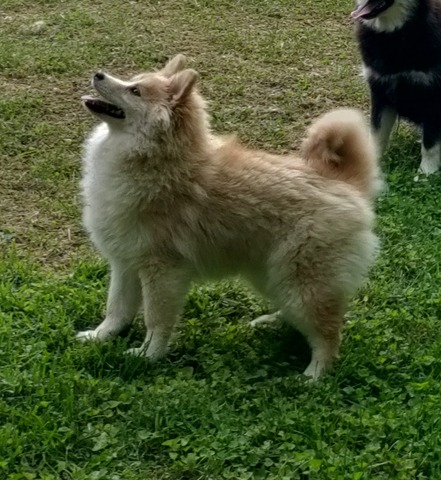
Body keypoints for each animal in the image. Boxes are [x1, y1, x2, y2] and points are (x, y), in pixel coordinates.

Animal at [76, 54, 378, 380]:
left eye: (135, 91)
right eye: (132, 81)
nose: (98, 74)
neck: (154, 159)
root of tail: (345, 183)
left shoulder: (162, 271)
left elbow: (155, 321)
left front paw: (148, 356)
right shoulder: (125, 263)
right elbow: (116, 310)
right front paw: (100, 337)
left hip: (304, 283)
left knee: (329, 335)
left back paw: (314, 376)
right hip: (273, 275)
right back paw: (272, 322)